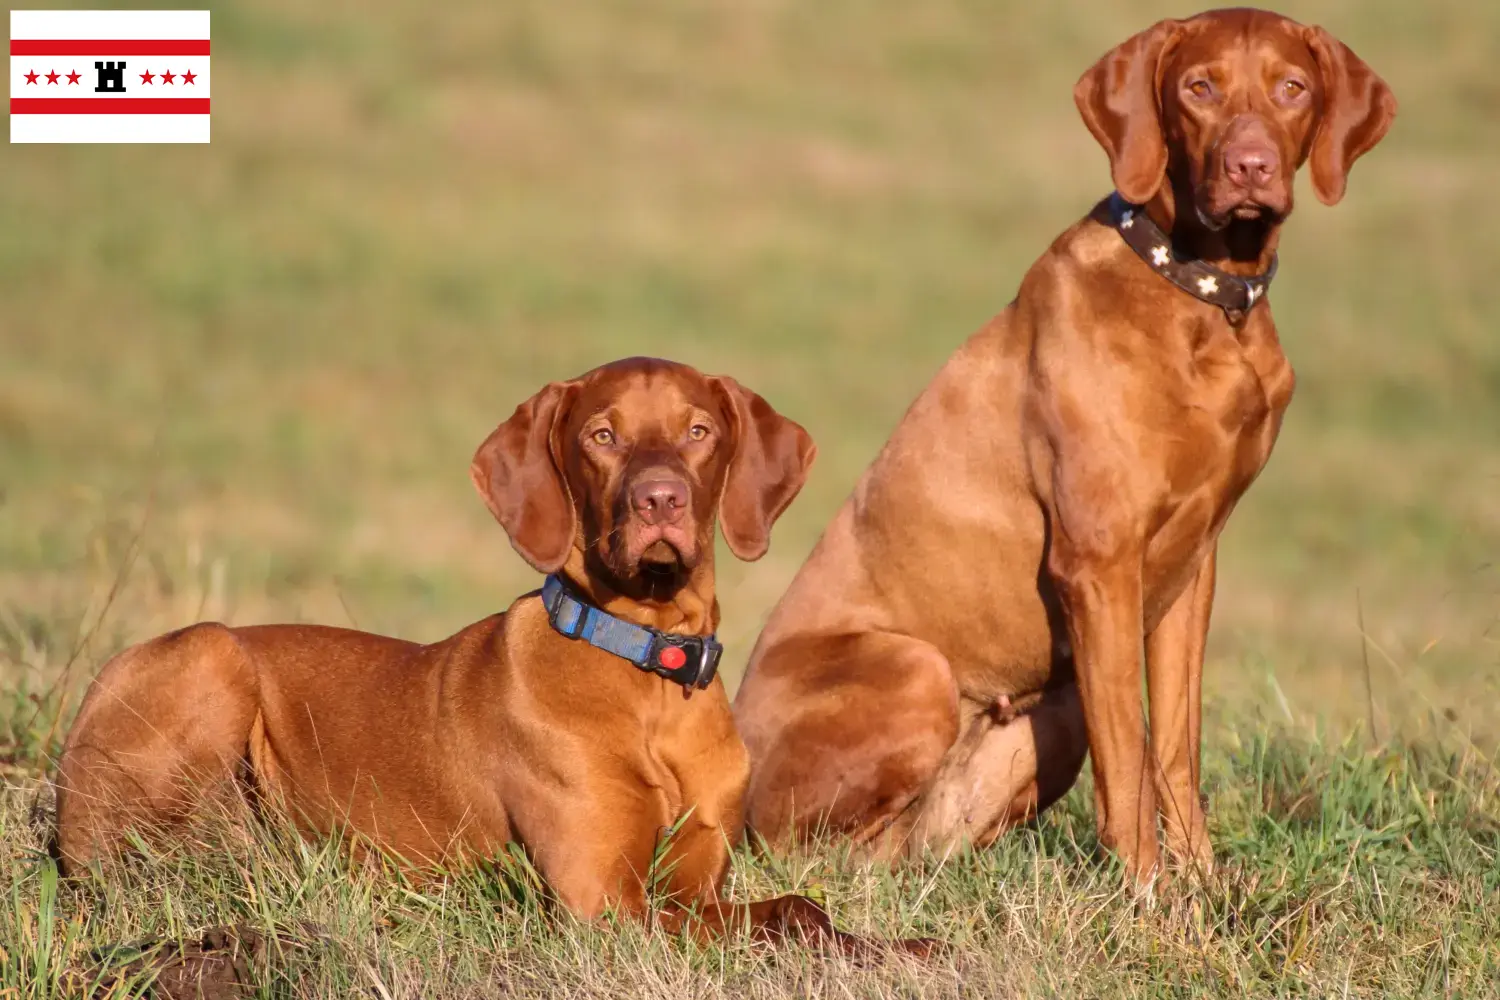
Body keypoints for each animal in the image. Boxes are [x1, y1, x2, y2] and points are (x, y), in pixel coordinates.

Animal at [52, 359, 918, 953]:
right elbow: (787, 920)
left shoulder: (693, 882)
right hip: (210, 653)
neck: (649, 667)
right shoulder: (603, 901)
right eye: (602, 436)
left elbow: (801, 908)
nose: (660, 499)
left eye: (698, 431)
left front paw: (905, 946)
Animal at [732, 9, 1398, 881]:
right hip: (914, 671)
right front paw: (1148, 894)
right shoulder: (1099, 564)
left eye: (1292, 88)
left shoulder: (1192, 569)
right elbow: (1130, 757)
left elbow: (1174, 748)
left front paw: (1204, 889)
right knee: (806, 851)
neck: (1203, 301)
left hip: (1047, 717)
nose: (1249, 165)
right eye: (1199, 87)